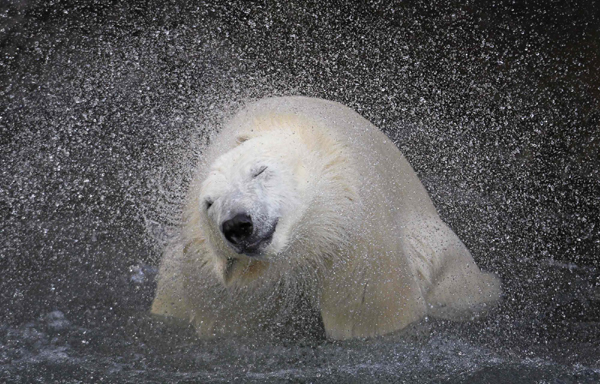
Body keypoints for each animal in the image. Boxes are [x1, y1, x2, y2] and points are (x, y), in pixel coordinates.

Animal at [151, 96, 502, 340]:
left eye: (259, 171)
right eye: (209, 204)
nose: (237, 223)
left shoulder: (354, 232)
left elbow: (373, 310)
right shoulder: (209, 275)